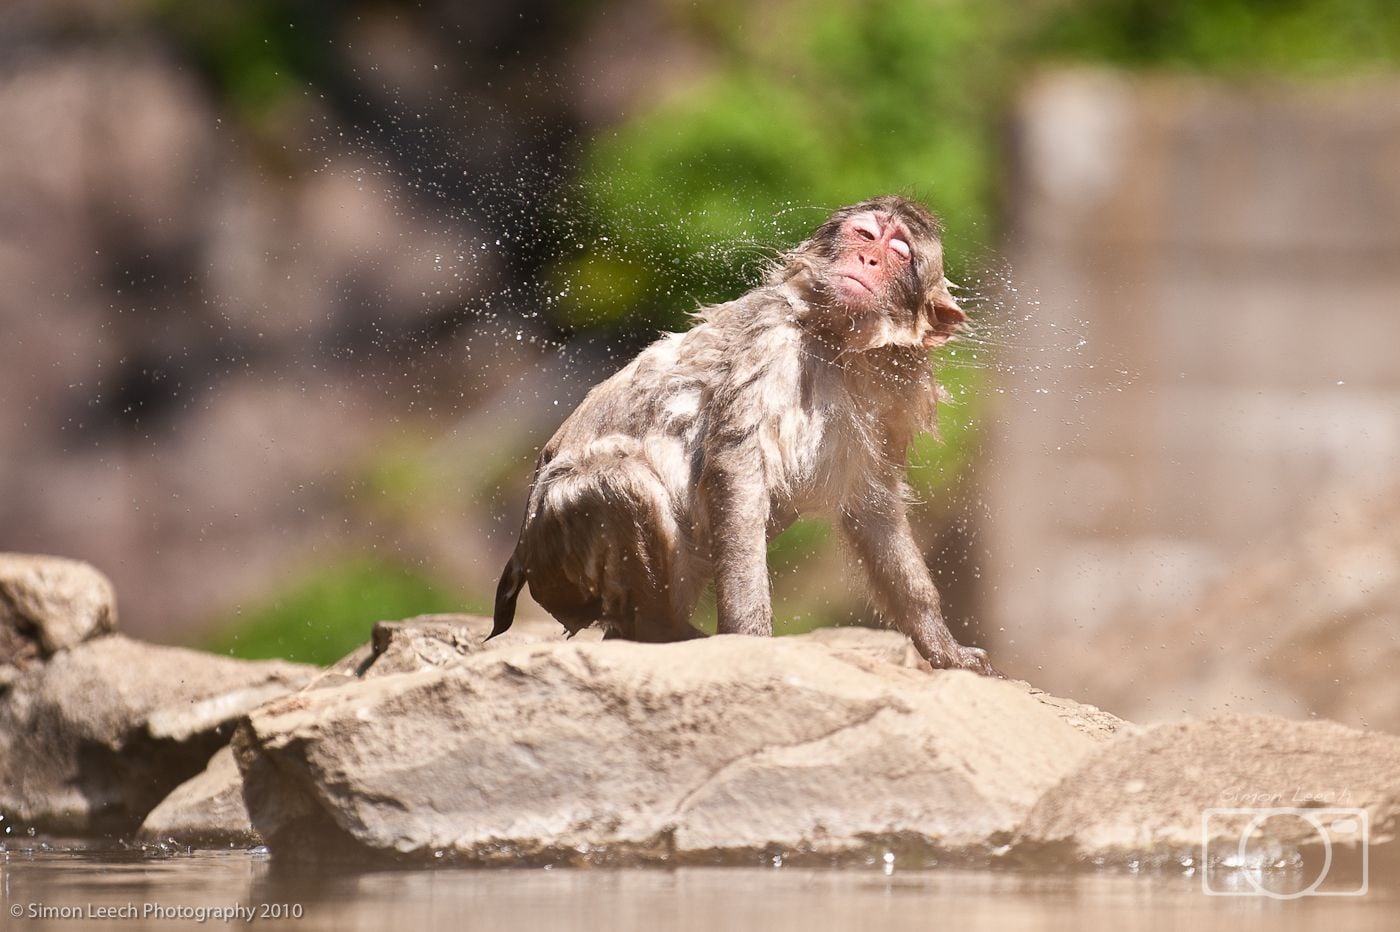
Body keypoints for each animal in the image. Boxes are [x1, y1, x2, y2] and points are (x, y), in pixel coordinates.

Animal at [491, 195, 996, 675]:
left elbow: (873, 508)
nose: (869, 259)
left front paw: (942, 645)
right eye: (866, 235)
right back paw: (662, 632)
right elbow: (737, 470)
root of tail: (520, 558)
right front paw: (750, 639)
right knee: (624, 480)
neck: (837, 343)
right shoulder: (769, 344)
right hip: (558, 539)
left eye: (898, 252)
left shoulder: (894, 395)